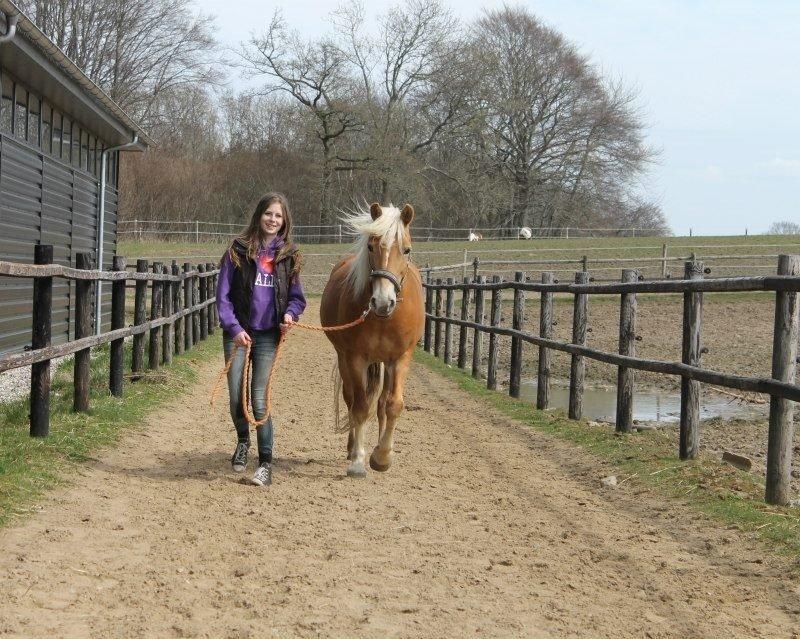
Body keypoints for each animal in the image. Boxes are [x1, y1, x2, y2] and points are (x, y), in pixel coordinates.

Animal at [320, 202, 428, 478]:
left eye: (406, 249)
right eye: (371, 246)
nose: (382, 302)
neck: (384, 319)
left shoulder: (400, 359)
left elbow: (392, 405)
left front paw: (382, 456)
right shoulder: (356, 358)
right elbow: (359, 407)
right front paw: (358, 460)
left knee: (380, 404)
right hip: (345, 359)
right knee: (351, 400)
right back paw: (351, 448)